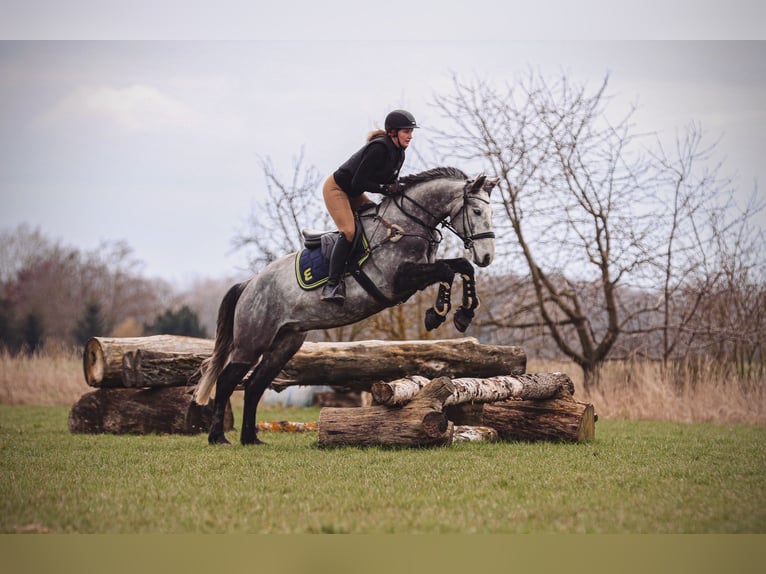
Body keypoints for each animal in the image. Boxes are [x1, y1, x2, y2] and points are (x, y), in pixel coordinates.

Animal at [193, 166, 499, 445]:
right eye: (476, 211)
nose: (486, 257)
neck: (407, 225)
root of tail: (249, 284)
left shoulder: (418, 276)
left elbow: (461, 266)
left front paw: (463, 313)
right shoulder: (399, 280)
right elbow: (447, 271)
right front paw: (438, 313)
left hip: (285, 343)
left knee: (255, 385)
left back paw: (250, 439)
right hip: (252, 341)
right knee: (227, 381)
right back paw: (218, 437)